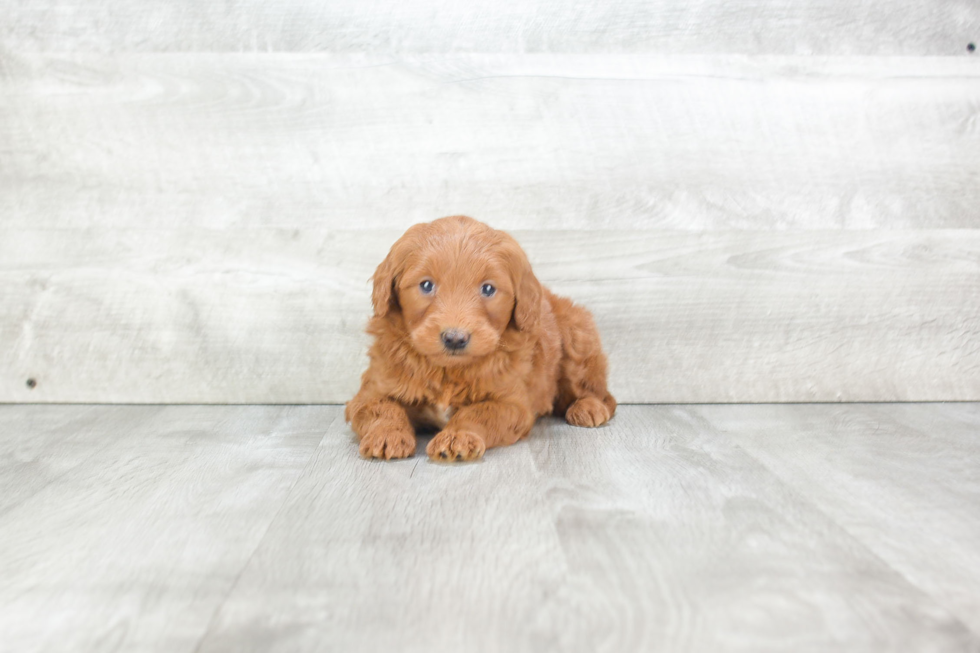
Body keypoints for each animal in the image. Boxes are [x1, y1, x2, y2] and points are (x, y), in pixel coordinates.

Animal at [344, 214, 612, 458]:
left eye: (488, 289)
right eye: (426, 285)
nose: (455, 338)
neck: (446, 372)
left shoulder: (512, 403)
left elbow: (478, 413)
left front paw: (457, 436)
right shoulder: (370, 391)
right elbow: (383, 408)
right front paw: (386, 435)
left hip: (577, 339)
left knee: (600, 394)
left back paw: (588, 407)